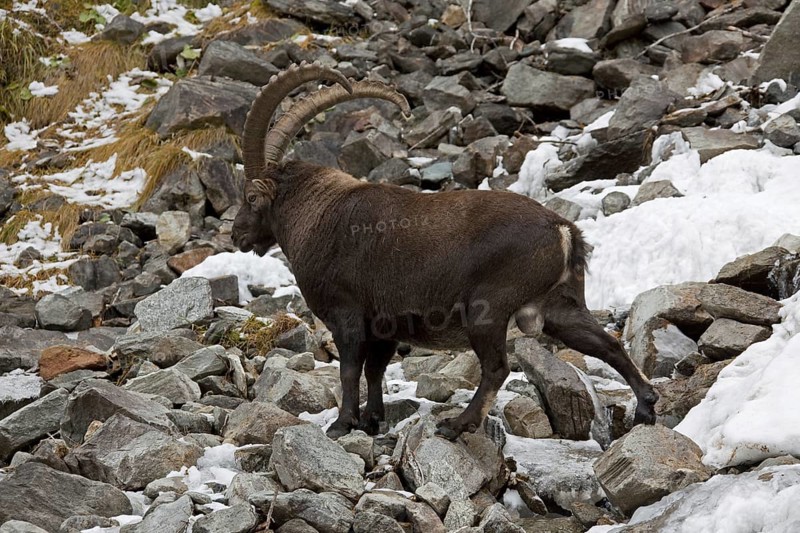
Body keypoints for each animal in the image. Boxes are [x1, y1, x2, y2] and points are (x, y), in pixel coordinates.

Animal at [232, 63, 658, 440]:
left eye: (251, 197)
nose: (237, 234)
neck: (315, 212)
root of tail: (563, 230)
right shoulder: (385, 323)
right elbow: (375, 370)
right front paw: (372, 420)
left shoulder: (347, 313)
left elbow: (351, 369)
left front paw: (342, 424)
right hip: (560, 306)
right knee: (607, 344)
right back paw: (647, 406)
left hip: (487, 309)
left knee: (496, 367)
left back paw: (458, 425)